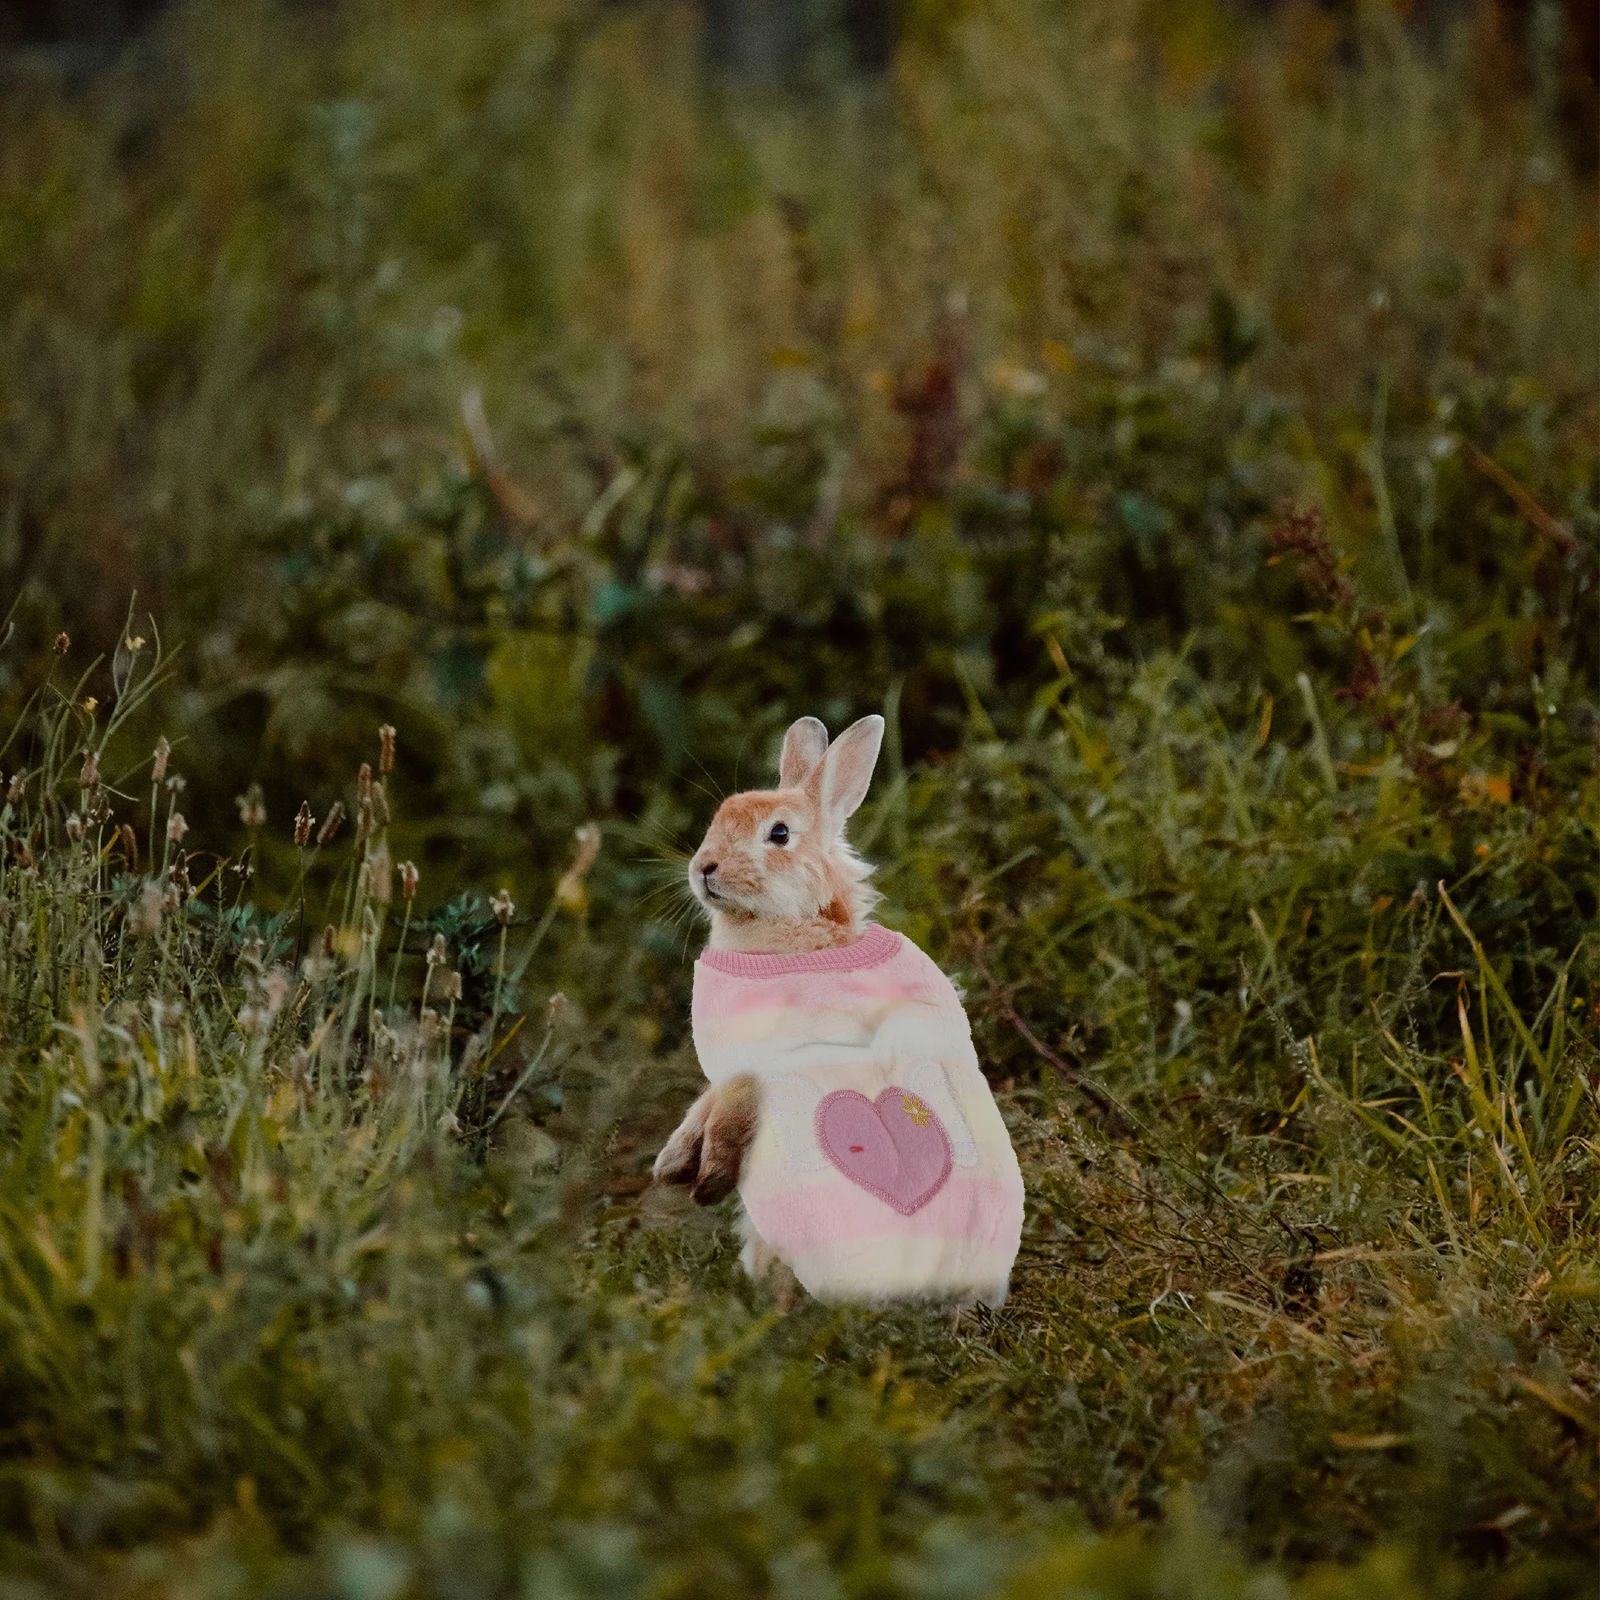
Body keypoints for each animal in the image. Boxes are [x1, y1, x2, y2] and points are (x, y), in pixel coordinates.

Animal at [653, 714, 1025, 1306]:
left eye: (779, 834)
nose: (703, 868)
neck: (802, 934)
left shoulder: (754, 1061)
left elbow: (722, 1106)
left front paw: (696, 1177)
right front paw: (674, 1170)